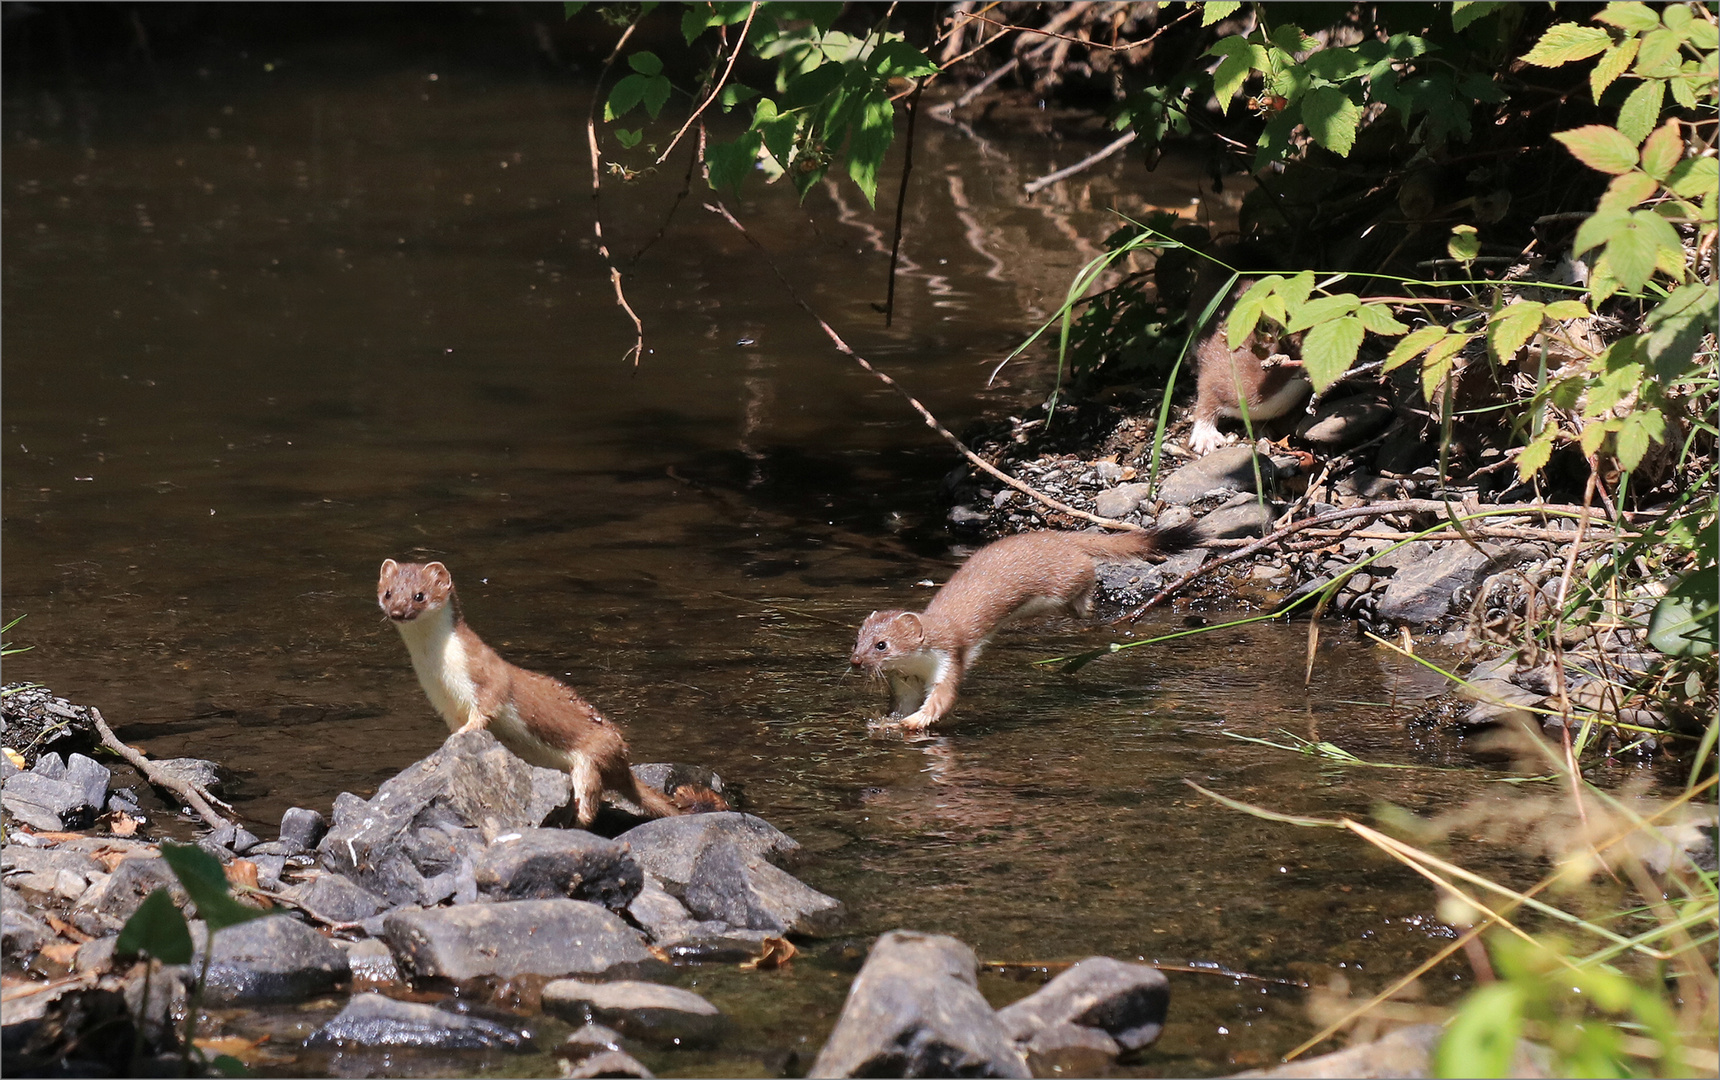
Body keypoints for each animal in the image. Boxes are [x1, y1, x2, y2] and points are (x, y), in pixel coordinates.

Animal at [380, 560, 681, 822]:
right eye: (388, 592)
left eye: (419, 595)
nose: (397, 611)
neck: (437, 670)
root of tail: (623, 761)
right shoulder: (442, 702)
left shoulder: (486, 674)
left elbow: (487, 706)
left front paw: (465, 733)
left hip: (593, 758)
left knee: (589, 803)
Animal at [849, 526, 1197, 732]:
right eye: (857, 640)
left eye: (881, 644)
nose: (855, 662)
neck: (919, 668)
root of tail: (1057, 535)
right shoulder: (905, 681)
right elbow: (903, 704)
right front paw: (888, 722)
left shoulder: (950, 658)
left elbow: (941, 701)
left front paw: (913, 721)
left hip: (1064, 581)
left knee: (1087, 572)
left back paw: (1085, 604)